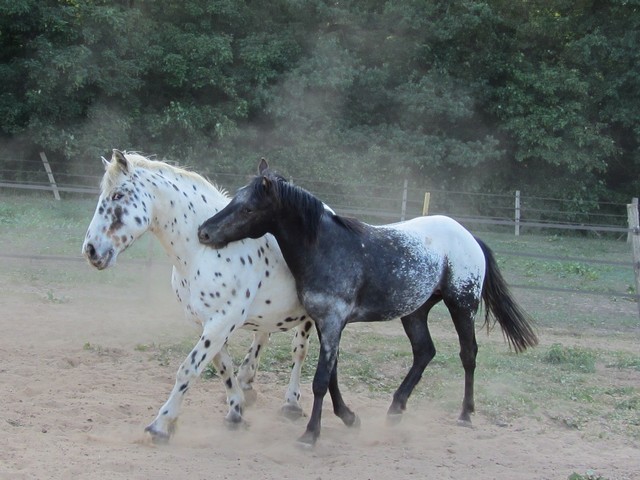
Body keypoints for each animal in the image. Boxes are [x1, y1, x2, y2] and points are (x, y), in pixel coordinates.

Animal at [82, 150, 315, 442]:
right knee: (262, 338)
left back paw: (291, 404)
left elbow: (188, 370)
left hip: (308, 319)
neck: (203, 249)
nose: (90, 250)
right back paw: (248, 384)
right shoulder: (206, 323)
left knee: (300, 351)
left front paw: (161, 424)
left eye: (118, 195)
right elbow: (224, 366)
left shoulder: (221, 322)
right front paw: (235, 411)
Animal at [197, 159, 538, 447]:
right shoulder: (324, 323)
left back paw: (466, 413)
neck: (327, 248)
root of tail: (469, 237)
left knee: (468, 354)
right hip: (415, 311)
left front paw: (311, 434)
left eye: (248, 209)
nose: (204, 232)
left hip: (462, 305)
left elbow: (321, 380)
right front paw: (349, 418)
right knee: (424, 352)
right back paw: (396, 409)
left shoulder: (333, 322)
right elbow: (332, 376)